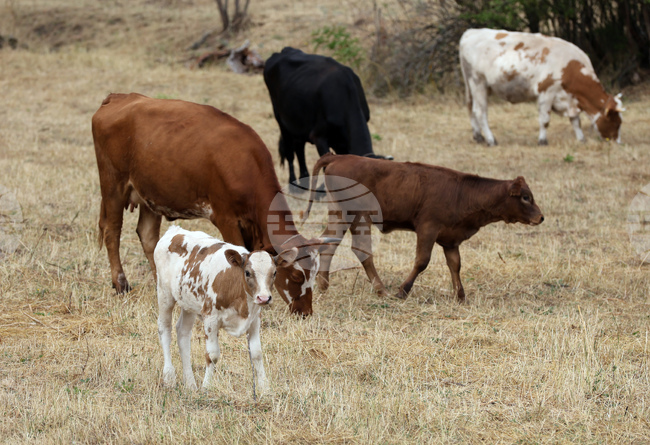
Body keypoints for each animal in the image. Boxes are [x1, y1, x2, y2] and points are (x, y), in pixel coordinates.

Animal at [91, 92, 325, 316]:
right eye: (296, 276)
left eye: (314, 274)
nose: (305, 312)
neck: (244, 163)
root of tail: (118, 97)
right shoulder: (226, 219)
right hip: (113, 185)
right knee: (112, 232)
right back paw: (120, 283)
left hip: (149, 195)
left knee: (148, 237)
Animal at [155, 226, 298, 395]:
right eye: (247, 272)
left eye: (274, 273)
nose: (264, 298)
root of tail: (174, 230)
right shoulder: (210, 318)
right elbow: (212, 355)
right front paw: (206, 387)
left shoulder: (254, 320)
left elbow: (257, 354)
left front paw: (264, 388)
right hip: (164, 293)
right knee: (165, 329)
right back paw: (169, 376)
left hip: (188, 303)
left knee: (182, 333)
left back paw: (190, 383)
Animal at [263, 46, 392, 192]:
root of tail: (284, 51)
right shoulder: (319, 137)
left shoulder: (341, 143)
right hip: (281, 119)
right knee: (290, 150)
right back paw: (293, 183)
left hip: (297, 123)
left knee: (299, 148)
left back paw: (304, 180)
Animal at [302, 154, 544, 302]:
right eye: (525, 197)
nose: (541, 217)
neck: (463, 193)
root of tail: (339, 156)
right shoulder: (427, 229)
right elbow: (422, 261)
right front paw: (402, 291)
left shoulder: (450, 239)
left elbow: (455, 265)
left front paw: (460, 296)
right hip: (359, 217)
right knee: (361, 252)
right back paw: (381, 290)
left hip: (340, 215)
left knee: (328, 244)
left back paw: (323, 284)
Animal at [459, 28, 624, 146]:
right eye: (616, 122)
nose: (618, 143)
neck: (570, 66)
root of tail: (471, 32)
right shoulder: (547, 92)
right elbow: (545, 120)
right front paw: (542, 141)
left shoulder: (570, 98)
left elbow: (575, 121)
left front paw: (581, 139)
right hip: (478, 83)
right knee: (480, 112)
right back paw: (491, 140)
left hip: (470, 86)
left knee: (470, 108)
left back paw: (478, 136)